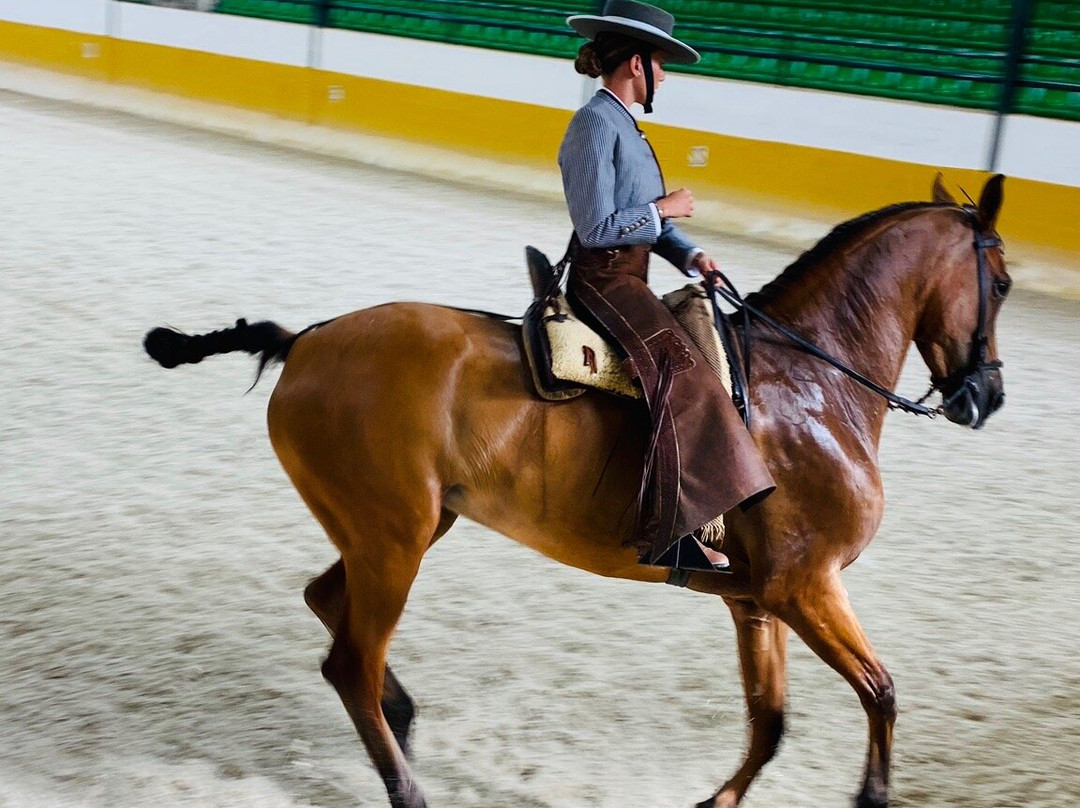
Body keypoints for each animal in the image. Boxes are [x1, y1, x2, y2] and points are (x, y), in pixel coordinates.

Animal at [143, 177, 1010, 808]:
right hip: (393, 539)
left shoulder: (758, 599)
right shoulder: (807, 587)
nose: (986, 397)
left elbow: (770, 723)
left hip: (399, 528)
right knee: (351, 659)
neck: (813, 385)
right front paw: (870, 796)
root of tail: (306, 343)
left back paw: (403, 715)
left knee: (330, 610)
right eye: (998, 282)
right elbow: (881, 694)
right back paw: (407, 783)